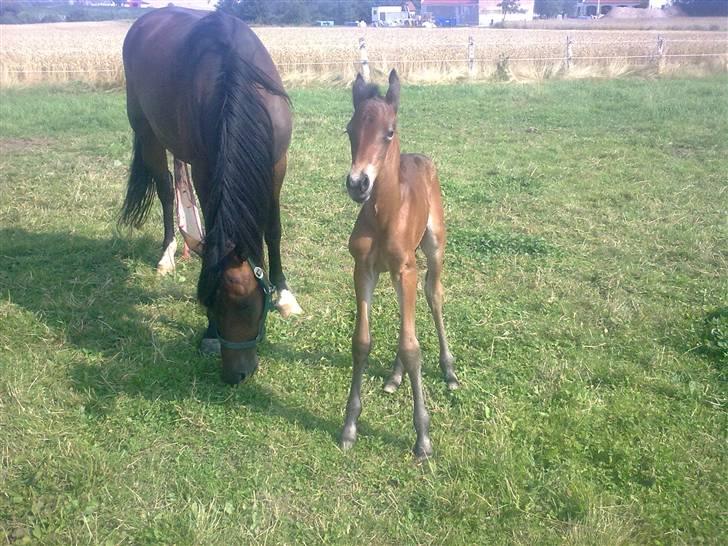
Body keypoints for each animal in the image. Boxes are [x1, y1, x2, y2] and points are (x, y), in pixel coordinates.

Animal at [121, 8, 302, 382]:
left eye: (248, 306)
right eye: (209, 305)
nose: (236, 375)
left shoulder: (277, 164)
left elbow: (273, 231)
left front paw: (285, 295)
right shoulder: (207, 170)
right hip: (147, 133)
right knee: (165, 190)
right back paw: (168, 254)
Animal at [338, 70, 458, 456]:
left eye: (388, 132)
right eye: (350, 129)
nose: (358, 183)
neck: (384, 213)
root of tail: (420, 157)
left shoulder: (406, 269)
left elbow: (411, 346)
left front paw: (423, 437)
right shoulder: (363, 269)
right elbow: (362, 341)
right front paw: (349, 427)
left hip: (432, 249)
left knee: (434, 296)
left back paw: (449, 371)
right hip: (396, 271)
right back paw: (394, 376)